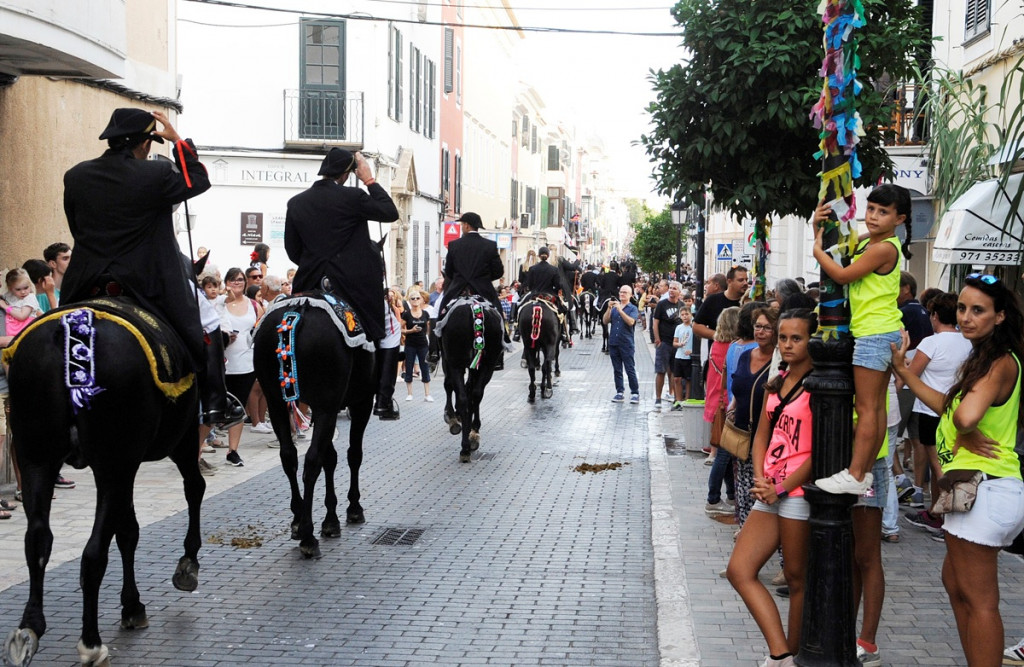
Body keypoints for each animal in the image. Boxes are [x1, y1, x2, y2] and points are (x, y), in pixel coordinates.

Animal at [0, 305, 203, 667]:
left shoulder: (120, 469)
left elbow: (127, 531)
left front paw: (132, 604)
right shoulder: (171, 443)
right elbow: (191, 490)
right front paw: (185, 564)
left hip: (38, 460)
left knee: (38, 539)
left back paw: (30, 628)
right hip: (114, 465)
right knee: (93, 554)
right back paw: (91, 643)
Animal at [252, 297, 376, 557]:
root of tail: (296, 311)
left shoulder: (323, 410)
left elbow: (330, 457)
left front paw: (330, 518)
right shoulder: (360, 401)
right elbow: (353, 454)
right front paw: (353, 508)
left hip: (276, 402)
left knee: (289, 457)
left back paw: (298, 520)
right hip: (327, 405)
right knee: (311, 462)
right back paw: (308, 536)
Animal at [440, 299, 503, 461]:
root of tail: (474, 306)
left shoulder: (449, 361)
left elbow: (449, 386)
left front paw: (451, 416)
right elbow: (472, 393)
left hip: (455, 364)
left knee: (462, 395)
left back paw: (465, 445)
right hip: (488, 365)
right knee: (475, 394)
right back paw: (471, 438)